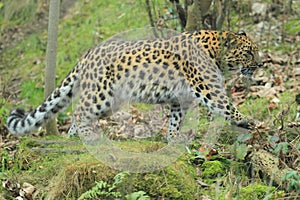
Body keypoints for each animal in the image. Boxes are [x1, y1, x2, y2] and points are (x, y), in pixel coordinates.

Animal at [7, 30, 262, 141]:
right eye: (249, 52)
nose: (261, 63)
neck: (216, 54)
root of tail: (87, 54)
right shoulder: (207, 88)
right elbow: (225, 105)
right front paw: (246, 120)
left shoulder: (180, 97)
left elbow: (176, 119)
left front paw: (172, 137)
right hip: (102, 94)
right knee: (79, 111)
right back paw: (88, 137)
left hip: (110, 102)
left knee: (79, 115)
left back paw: (75, 138)